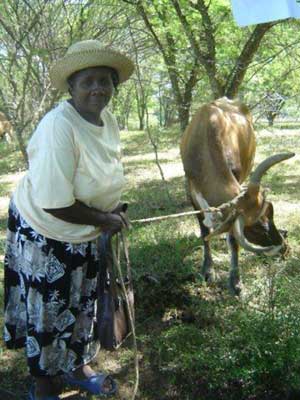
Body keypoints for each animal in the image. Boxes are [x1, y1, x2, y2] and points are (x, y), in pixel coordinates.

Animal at [180, 97, 292, 294]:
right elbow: (204, 231)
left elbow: (232, 240)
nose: (284, 248)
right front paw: (208, 269)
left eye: (270, 212)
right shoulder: (191, 192)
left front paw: (235, 281)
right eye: (256, 229)